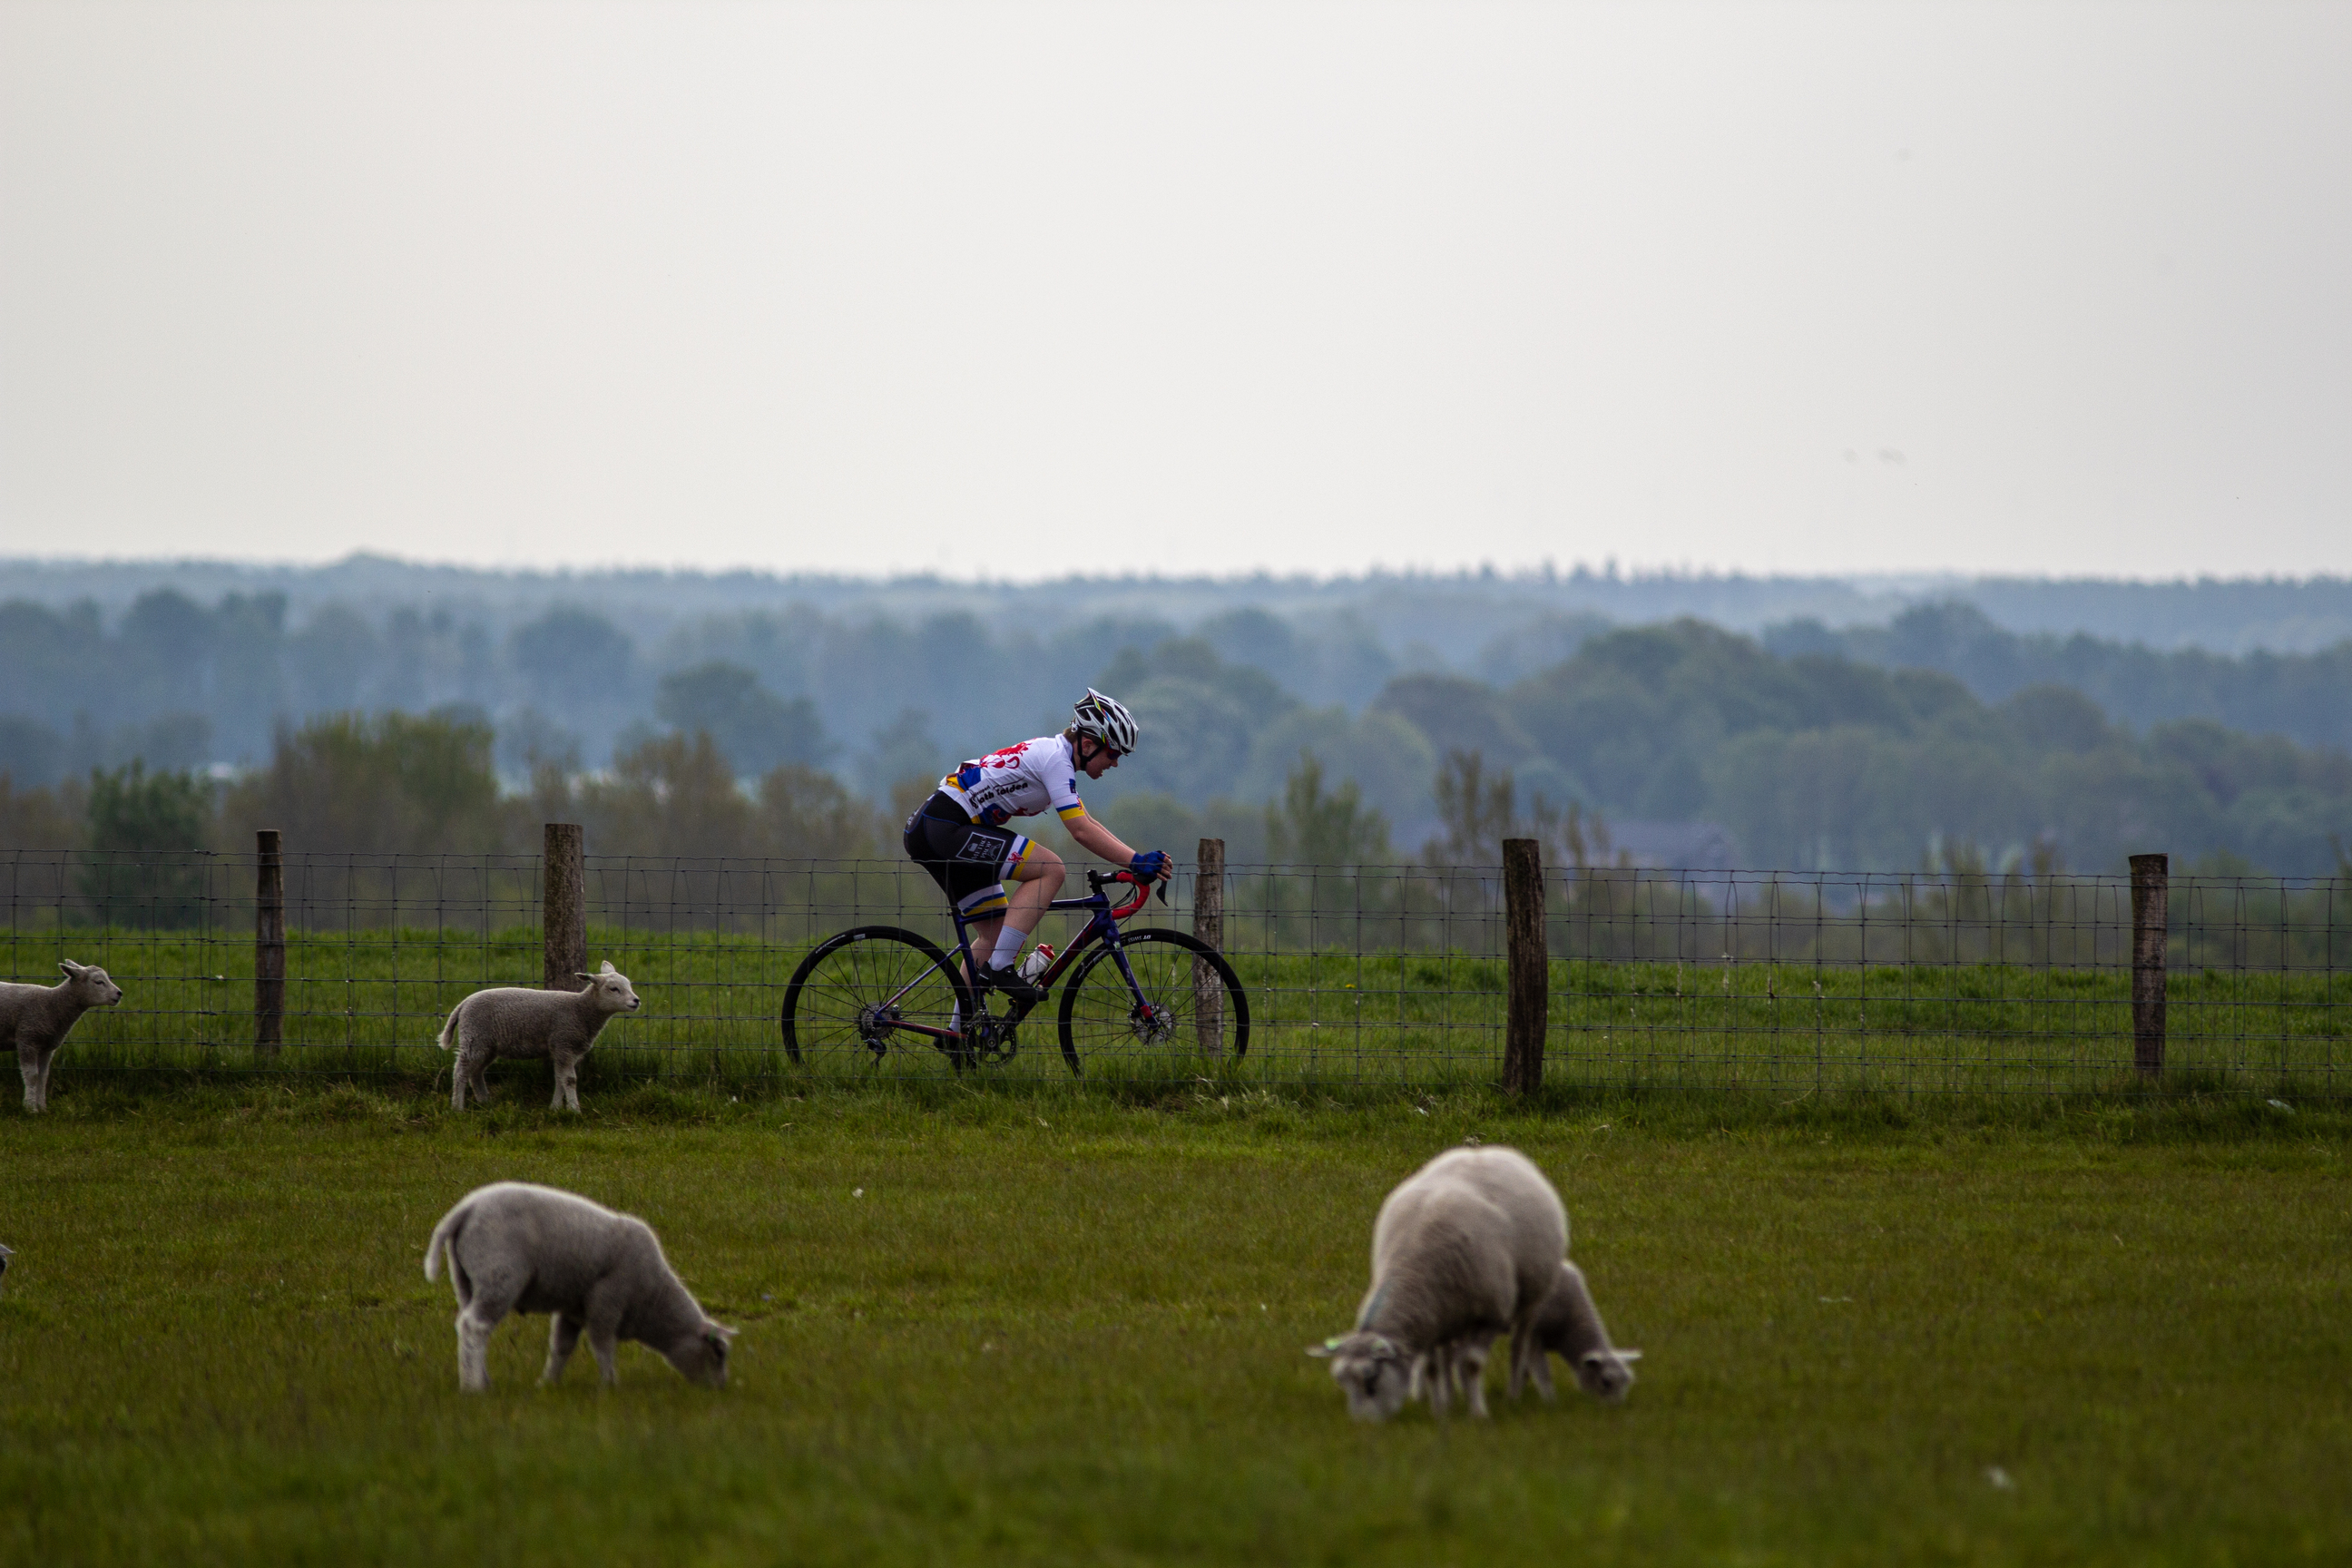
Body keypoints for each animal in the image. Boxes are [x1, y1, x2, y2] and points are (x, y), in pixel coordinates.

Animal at [4, 959, 123, 1113]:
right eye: (98, 982)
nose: (119, 993)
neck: (52, 1005)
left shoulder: (46, 1047)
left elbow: (43, 1077)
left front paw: (42, 1108)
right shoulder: (27, 1039)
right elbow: (32, 1075)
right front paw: (30, 1108)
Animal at [420, 1184, 733, 1391]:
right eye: (718, 1353)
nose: (720, 1390)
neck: (653, 1299)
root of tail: (465, 1209)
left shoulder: (572, 1309)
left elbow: (561, 1348)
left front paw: (547, 1384)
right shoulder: (607, 1300)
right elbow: (602, 1345)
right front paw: (610, 1385)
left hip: (466, 1280)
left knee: (470, 1328)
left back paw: (479, 1379)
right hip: (499, 1275)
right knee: (475, 1326)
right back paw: (474, 1388)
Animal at [437, 959, 640, 1113]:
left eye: (629, 985)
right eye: (614, 989)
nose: (636, 1001)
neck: (581, 1010)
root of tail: (463, 1004)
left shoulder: (564, 1049)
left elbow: (559, 1079)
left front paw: (555, 1108)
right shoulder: (564, 1042)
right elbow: (569, 1079)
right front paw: (575, 1110)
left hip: (486, 1045)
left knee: (476, 1073)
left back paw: (485, 1102)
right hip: (474, 1037)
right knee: (461, 1072)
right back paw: (457, 1108)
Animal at [1317, 1142, 1571, 1419]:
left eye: (1371, 1379)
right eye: (1342, 1381)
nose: (1362, 1424)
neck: (1413, 1273)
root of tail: (1485, 1151)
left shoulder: (1491, 1315)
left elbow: (1471, 1364)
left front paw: (1477, 1413)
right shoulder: (1429, 1317)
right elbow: (1432, 1367)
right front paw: (1440, 1411)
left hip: (1532, 1298)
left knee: (1519, 1344)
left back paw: (1513, 1394)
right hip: (1454, 1311)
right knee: (1450, 1354)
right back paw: (1454, 1394)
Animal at [1514, 1259, 1646, 1410]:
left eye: (1628, 1380)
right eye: (1606, 1381)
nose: (1616, 1408)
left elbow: (1525, 1368)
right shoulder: (1534, 1336)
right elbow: (1543, 1374)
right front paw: (1550, 1403)